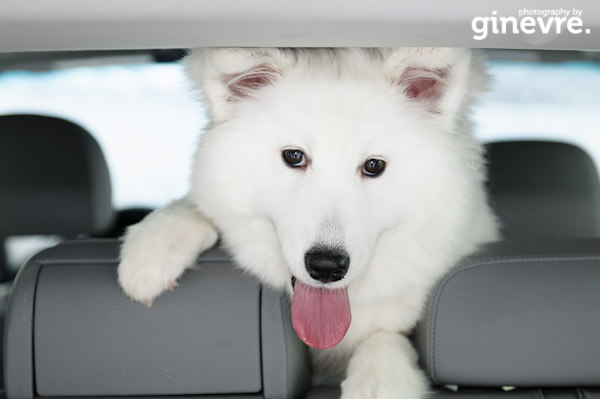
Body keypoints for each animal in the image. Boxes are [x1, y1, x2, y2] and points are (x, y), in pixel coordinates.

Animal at [117, 48, 496, 398]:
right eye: (294, 156)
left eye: (373, 165)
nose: (326, 266)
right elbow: (192, 207)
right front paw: (150, 254)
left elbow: (383, 344)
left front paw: (373, 382)